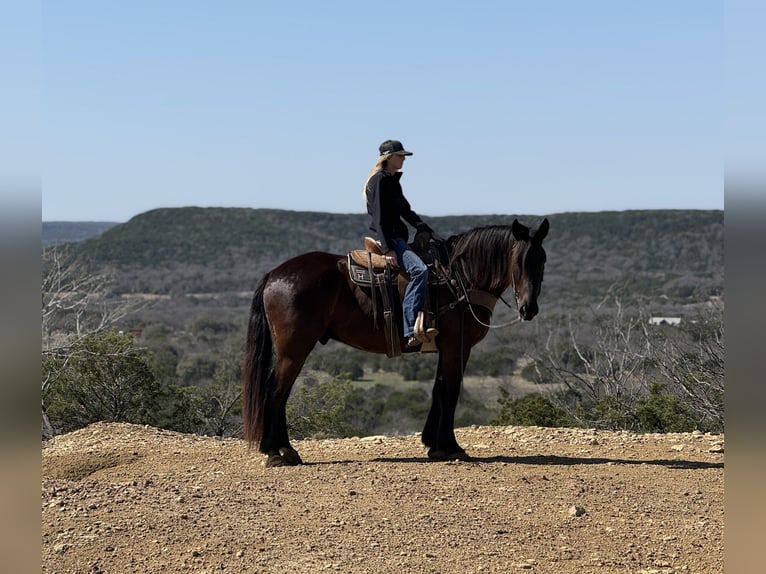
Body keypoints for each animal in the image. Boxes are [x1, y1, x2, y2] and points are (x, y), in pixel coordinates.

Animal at [243, 218, 549, 466]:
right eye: (519, 261)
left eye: (542, 260)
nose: (529, 309)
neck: (459, 279)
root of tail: (274, 275)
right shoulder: (457, 347)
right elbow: (450, 391)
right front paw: (452, 447)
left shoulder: (445, 348)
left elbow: (439, 390)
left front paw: (434, 446)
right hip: (294, 350)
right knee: (275, 391)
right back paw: (275, 452)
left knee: (281, 393)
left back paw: (285, 450)